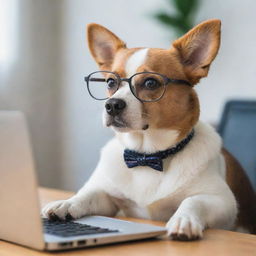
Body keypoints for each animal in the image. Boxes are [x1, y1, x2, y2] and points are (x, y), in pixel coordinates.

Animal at [42, 19, 256, 240]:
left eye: (150, 82)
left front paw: (183, 220)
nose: (112, 105)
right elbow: (88, 194)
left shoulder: (224, 202)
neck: (146, 155)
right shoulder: (108, 198)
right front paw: (67, 202)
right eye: (110, 82)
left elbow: (192, 201)